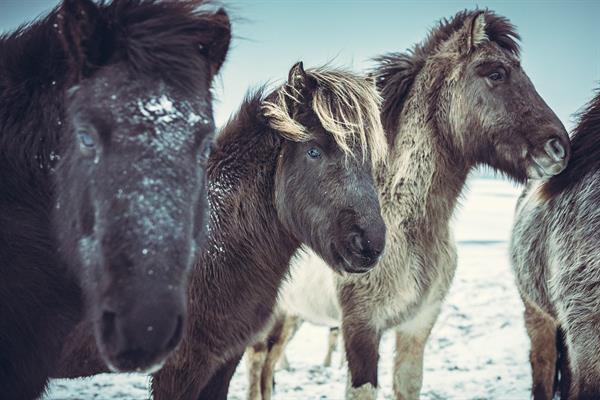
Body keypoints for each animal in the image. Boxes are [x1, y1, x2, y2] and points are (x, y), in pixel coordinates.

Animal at [52, 62, 389, 399]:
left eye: (371, 159)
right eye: (314, 151)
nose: (369, 244)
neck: (214, 244)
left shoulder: (223, 361)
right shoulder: (182, 367)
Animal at [247, 9, 571, 400]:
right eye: (495, 73)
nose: (559, 147)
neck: (403, 224)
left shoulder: (418, 325)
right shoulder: (360, 329)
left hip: (292, 316)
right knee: (256, 362)